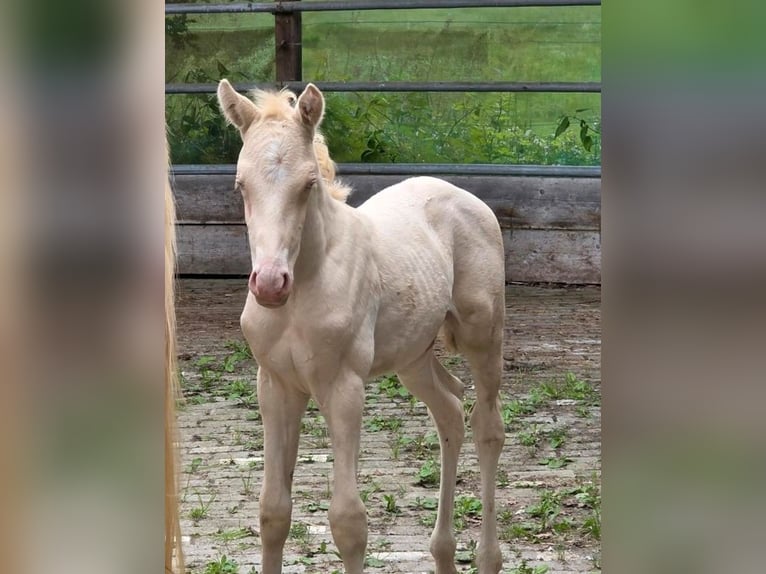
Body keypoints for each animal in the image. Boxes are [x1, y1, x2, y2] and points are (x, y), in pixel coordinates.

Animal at [217, 80, 506, 574]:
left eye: (308, 184)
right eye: (241, 185)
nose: (270, 284)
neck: (305, 287)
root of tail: (461, 194)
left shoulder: (343, 386)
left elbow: (348, 521)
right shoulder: (275, 385)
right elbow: (273, 510)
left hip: (483, 336)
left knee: (488, 427)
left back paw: (487, 558)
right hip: (413, 355)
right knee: (450, 410)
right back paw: (443, 554)